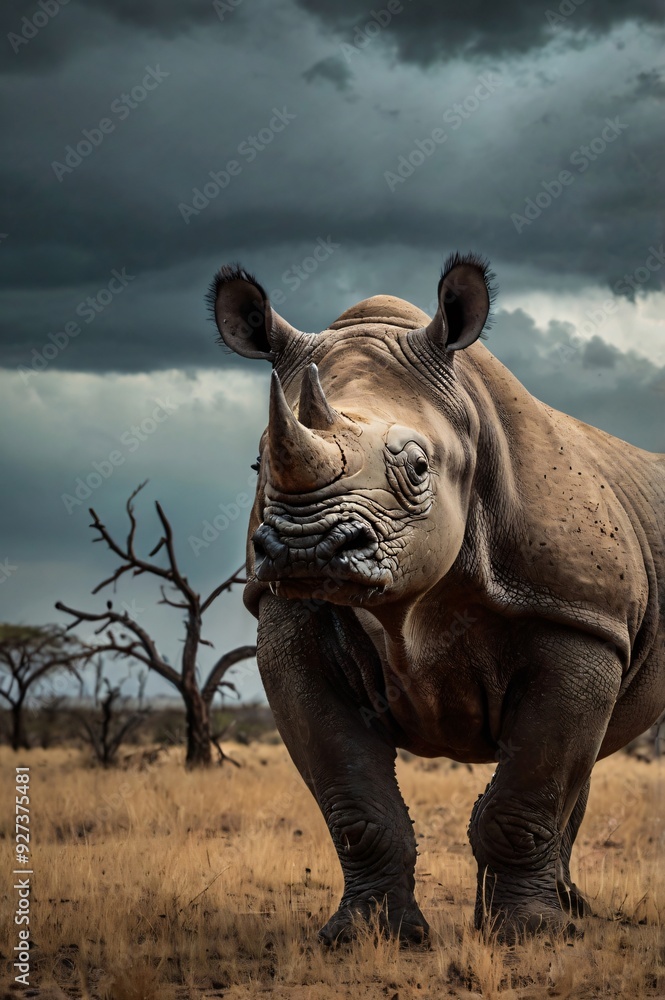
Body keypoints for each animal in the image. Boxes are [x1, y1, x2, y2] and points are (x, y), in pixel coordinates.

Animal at [209, 254, 665, 944]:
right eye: (260, 465)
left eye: (420, 468)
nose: (306, 546)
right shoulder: (285, 611)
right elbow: (356, 804)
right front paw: (367, 937)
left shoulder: (579, 619)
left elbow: (524, 797)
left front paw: (527, 936)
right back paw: (570, 910)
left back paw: (565, 918)